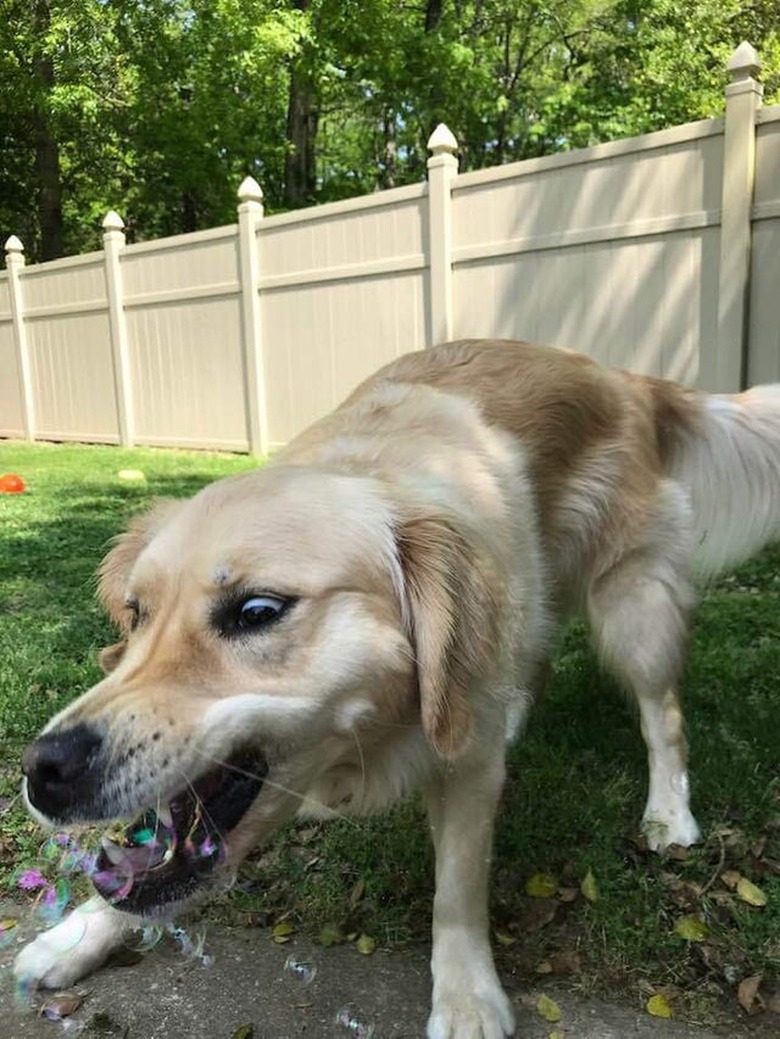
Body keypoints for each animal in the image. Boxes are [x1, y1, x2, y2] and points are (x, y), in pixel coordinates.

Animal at [15, 338, 780, 1030]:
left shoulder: (465, 768)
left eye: (257, 611)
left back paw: (670, 812)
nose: (42, 770)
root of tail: (618, 375)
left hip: (632, 607)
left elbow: (457, 892)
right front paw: (76, 932)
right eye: (136, 614)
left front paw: (467, 1000)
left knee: (662, 713)